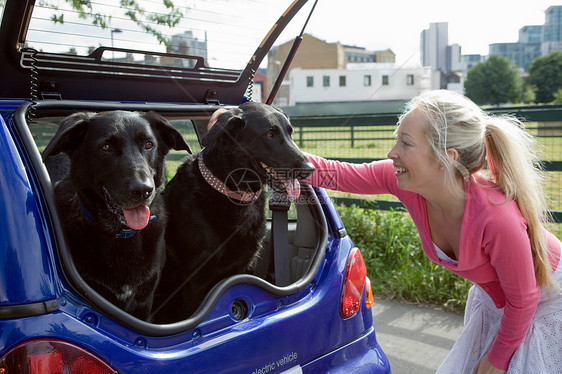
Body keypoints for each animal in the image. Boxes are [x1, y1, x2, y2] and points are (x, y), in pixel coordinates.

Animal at [151, 101, 312, 322]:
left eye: (290, 132)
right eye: (269, 134)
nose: (310, 168)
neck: (234, 193)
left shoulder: (242, 269)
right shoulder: (194, 282)